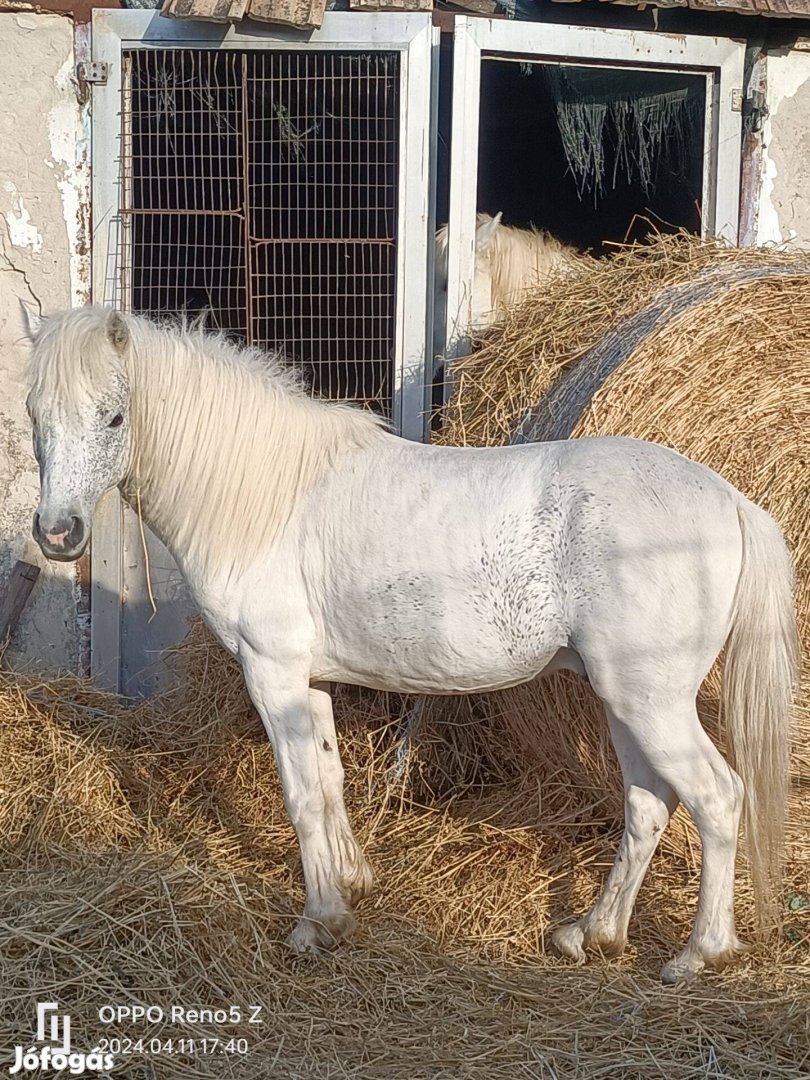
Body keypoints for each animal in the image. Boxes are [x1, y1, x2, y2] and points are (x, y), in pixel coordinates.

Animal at [25, 306, 799, 989]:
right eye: (35, 415)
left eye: (114, 417)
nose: (58, 534)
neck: (271, 498)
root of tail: (730, 500)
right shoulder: (310, 681)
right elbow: (329, 779)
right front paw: (352, 884)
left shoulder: (273, 674)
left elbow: (300, 795)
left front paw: (318, 922)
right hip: (627, 701)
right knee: (647, 805)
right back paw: (593, 933)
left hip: (651, 701)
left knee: (716, 798)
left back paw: (699, 955)